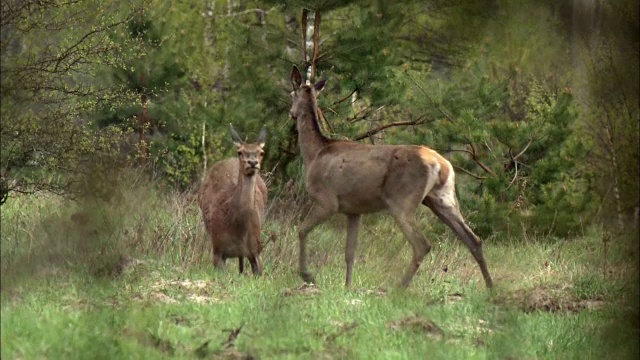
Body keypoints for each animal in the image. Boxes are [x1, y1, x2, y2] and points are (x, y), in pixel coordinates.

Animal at [290, 65, 496, 290]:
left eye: (291, 94)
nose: (292, 114)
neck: (314, 153)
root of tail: (441, 165)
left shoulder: (327, 200)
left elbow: (301, 230)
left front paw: (307, 275)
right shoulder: (354, 210)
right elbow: (350, 253)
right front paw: (347, 286)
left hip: (402, 200)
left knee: (422, 244)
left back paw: (400, 288)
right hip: (443, 198)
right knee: (473, 239)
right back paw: (491, 287)